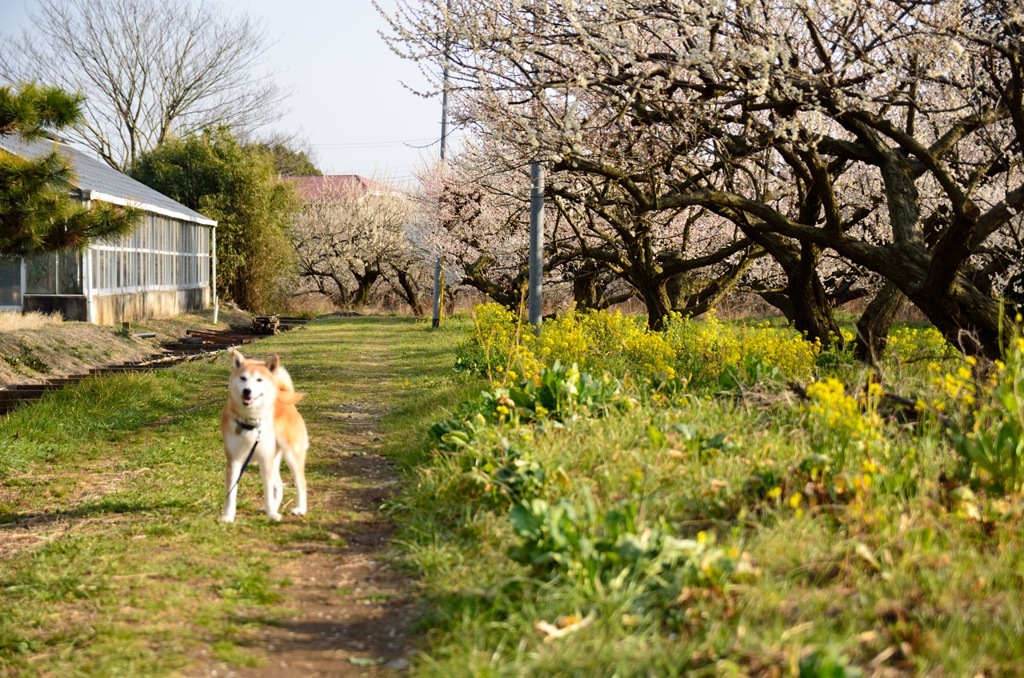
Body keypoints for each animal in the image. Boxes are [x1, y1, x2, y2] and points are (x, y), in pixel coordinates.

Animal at [220, 350, 307, 524]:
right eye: (243, 378)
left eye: (259, 380)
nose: (247, 391)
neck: (251, 422)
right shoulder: (234, 460)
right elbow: (231, 493)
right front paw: (228, 516)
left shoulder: (265, 460)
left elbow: (267, 492)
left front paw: (272, 514)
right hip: (275, 459)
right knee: (279, 485)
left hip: (291, 456)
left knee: (301, 483)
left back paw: (300, 509)